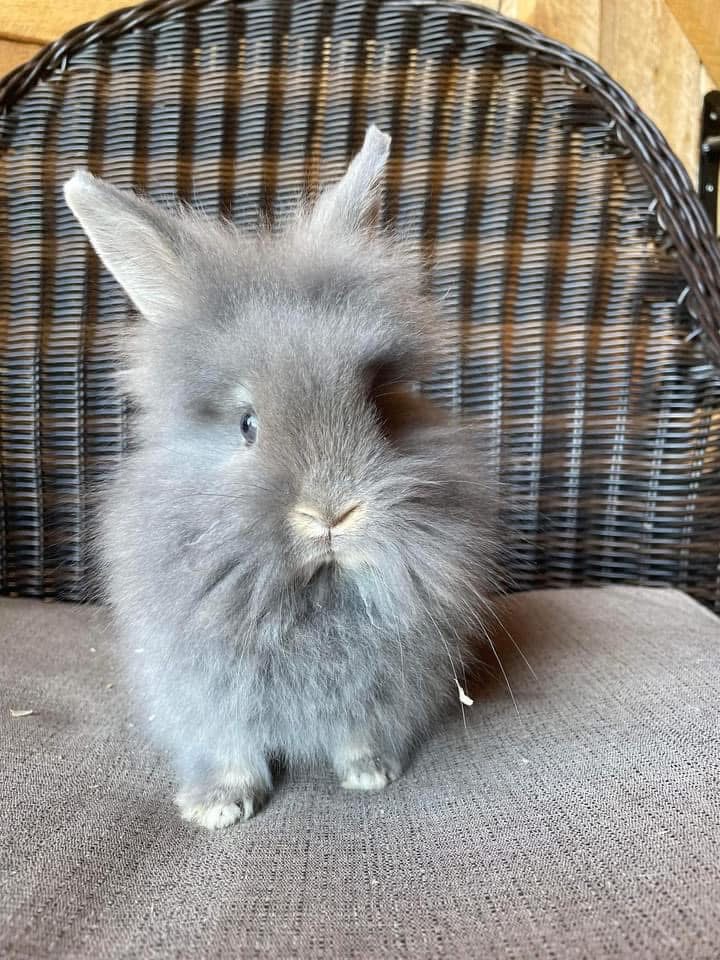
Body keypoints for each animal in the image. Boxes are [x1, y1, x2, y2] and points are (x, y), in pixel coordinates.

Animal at [64, 126, 500, 830]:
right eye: (247, 425)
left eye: (379, 404)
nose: (331, 513)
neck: (313, 594)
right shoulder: (206, 697)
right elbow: (230, 749)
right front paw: (216, 808)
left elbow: (359, 732)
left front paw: (369, 774)